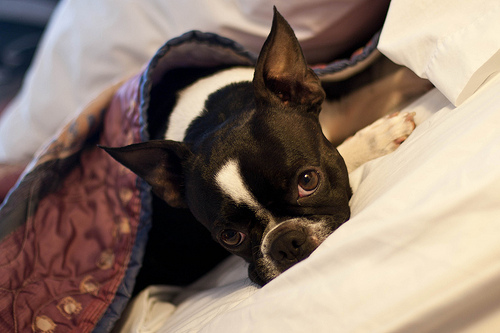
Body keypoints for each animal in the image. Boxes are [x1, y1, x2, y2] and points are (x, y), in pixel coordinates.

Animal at [100, 6, 414, 284]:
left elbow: (370, 93)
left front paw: (406, 77)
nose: (285, 242)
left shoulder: (336, 112)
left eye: (308, 181)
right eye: (230, 236)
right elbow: (347, 149)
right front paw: (378, 137)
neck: (214, 114)